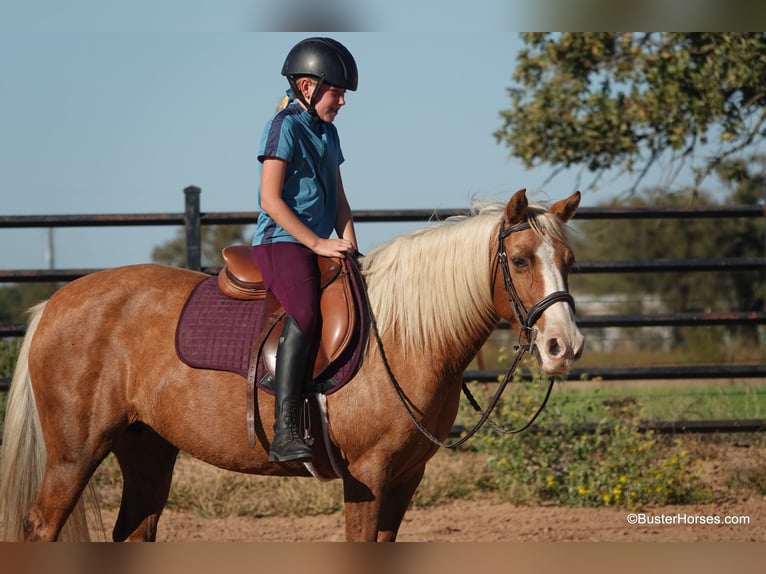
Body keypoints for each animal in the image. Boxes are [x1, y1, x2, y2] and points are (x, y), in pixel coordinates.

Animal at [0, 190, 584, 544]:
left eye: (569, 261)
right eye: (519, 261)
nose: (565, 346)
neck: (403, 337)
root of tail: (55, 303)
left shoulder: (405, 478)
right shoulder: (368, 477)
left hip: (146, 449)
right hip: (75, 455)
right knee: (42, 526)